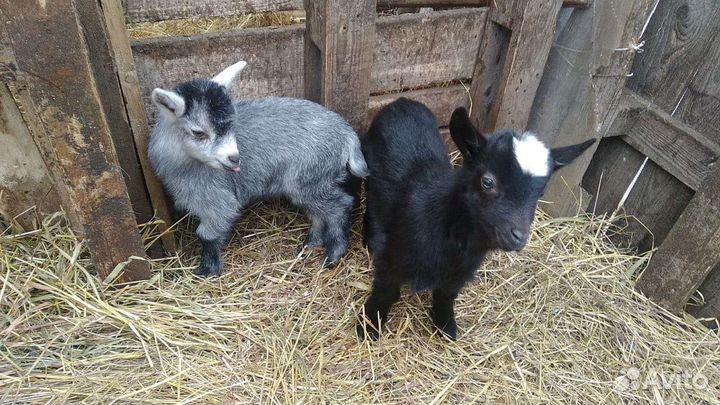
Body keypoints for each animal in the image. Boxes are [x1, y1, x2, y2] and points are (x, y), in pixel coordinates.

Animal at [149, 61, 368, 277]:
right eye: (198, 132)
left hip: (311, 177)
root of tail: (347, 134)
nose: (235, 158)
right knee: (317, 212)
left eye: (232, 123)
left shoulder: (217, 199)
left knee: (340, 206)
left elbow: (206, 234)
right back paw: (310, 244)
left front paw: (206, 270)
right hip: (310, 182)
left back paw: (333, 254)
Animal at [357, 98, 594, 340]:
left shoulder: (461, 271)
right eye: (487, 181)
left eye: (541, 192)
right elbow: (386, 290)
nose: (518, 237)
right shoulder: (394, 255)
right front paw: (369, 325)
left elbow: (446, 294)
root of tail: (402, 100)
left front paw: (445, 325)